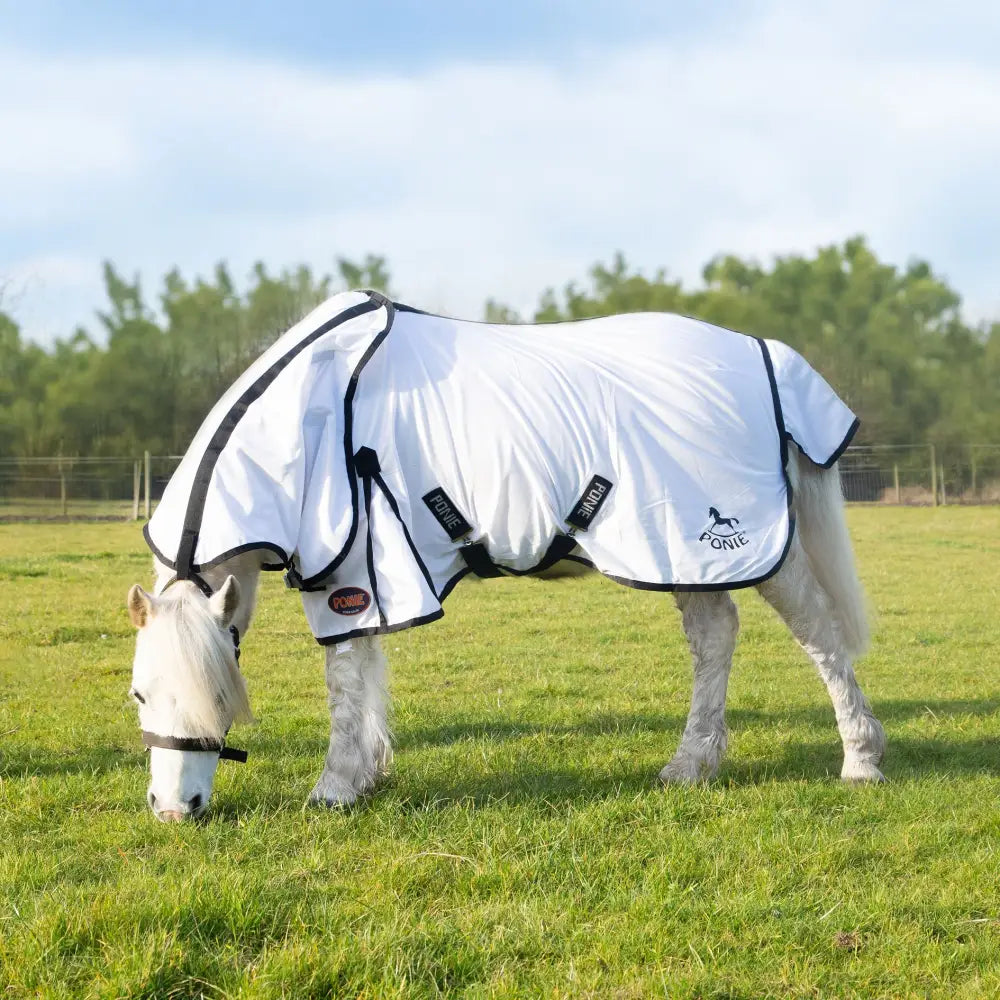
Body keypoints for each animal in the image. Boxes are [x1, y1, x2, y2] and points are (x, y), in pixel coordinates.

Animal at [126, 291, 886, 821]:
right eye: (138, 692)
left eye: (220, 694)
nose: (175, 811)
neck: (310, 418)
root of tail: (767, 354)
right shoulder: (369, 575)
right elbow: (367, 672)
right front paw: (367, 774)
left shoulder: (344, 575)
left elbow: (343, 683)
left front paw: (334, 788)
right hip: (679, 555)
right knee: (715, 636)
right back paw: (690, 766)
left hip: (741, 546)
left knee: (818, 632)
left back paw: (861, 758)